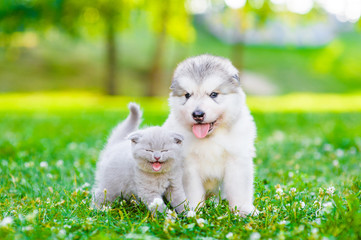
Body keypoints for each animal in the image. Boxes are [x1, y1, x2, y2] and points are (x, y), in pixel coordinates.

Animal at [163, 54, 256, 216]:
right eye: (187, 95)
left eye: (213, 94)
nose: (197, 114)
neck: (209, 137)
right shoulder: (188, 166)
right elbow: (192, 191)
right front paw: (192, 210)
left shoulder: (237, 160)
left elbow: (239, 190)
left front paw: (243, 210)